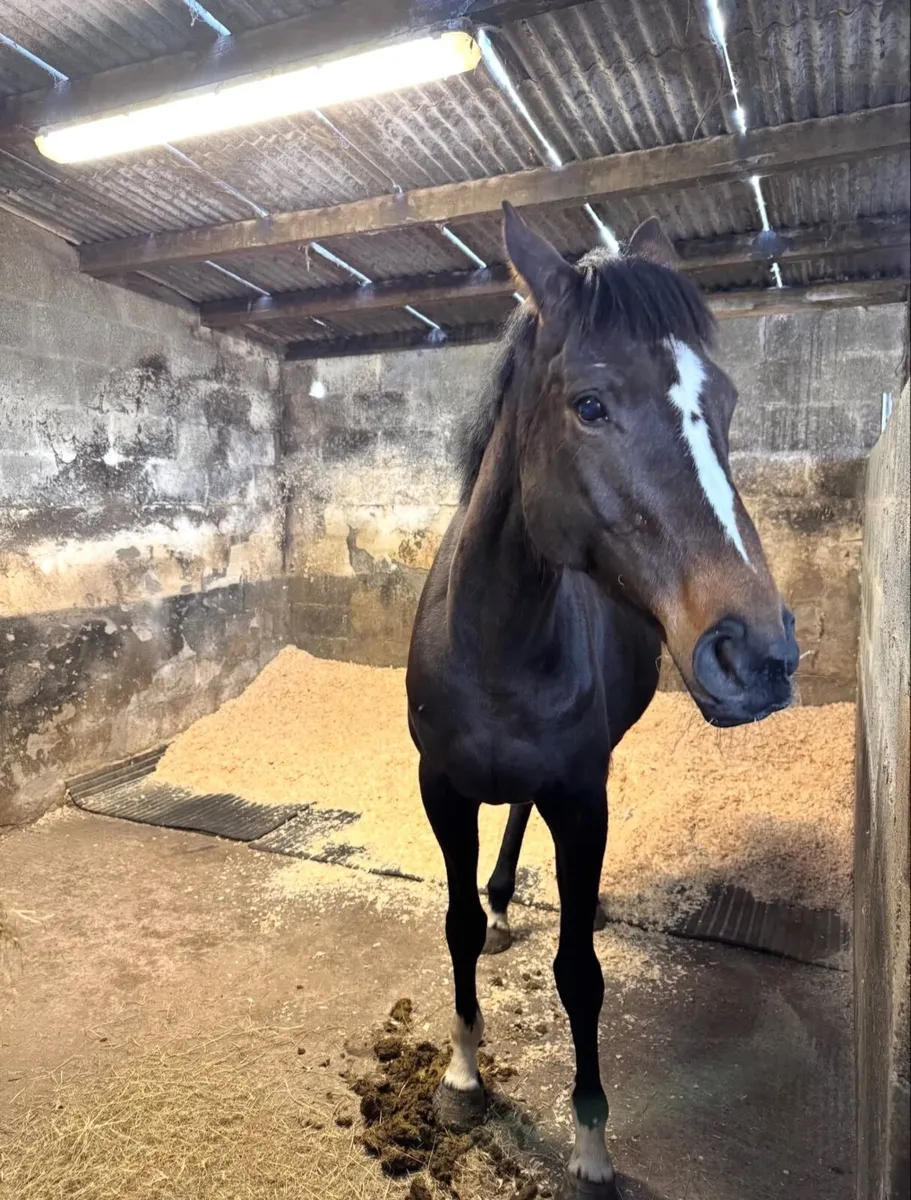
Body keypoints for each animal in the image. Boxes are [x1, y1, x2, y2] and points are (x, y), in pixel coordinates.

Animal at [405, 202, 798, 1200]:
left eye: (725, 405)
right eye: (589, 405)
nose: (761, 654)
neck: (497, 636)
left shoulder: (581, 798)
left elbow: (579, 972)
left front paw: (589, 1148)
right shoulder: (441, 788)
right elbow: (456, 925)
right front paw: (462, 1078)